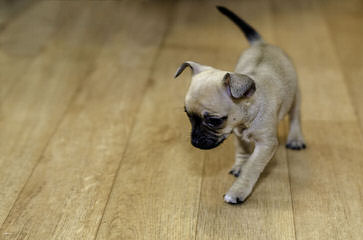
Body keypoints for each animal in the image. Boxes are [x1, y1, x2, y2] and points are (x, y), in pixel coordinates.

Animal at [175, 6, 306, 203]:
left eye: (214, 121)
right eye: (188, 116)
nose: (195, 142)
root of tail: (261, 43)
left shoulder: (266, 144)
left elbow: (252, 167)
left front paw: (238, 190)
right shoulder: (237, 133)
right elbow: (243, 152)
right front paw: (240, 166)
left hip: (295, 96)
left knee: (295, 115)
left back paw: (296, 138)